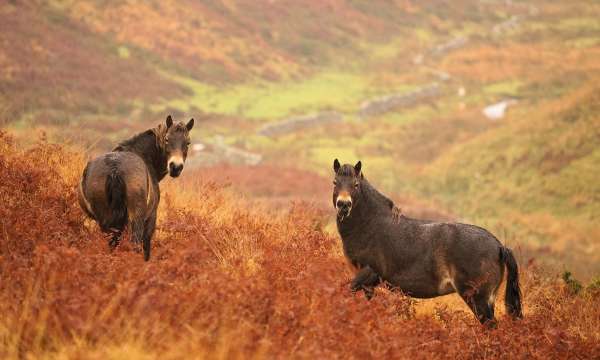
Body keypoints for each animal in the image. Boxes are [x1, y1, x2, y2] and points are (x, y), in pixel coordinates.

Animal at [330, 160, 524, 326]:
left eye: (356, 184)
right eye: (335, 182)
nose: (343, 205)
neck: (371, 225)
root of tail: (499, 246)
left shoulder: (368, 274)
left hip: (478, 299)